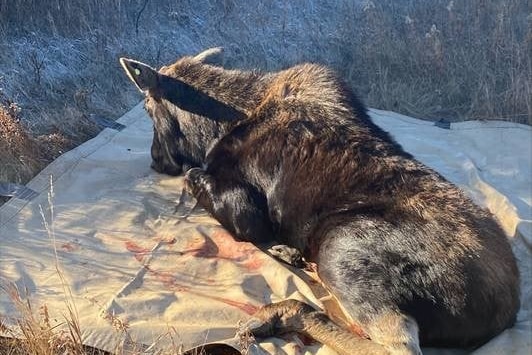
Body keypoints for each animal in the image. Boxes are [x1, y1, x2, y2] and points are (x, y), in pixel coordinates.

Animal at [121, 48, 520, 355]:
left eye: (148, 107)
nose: (155, 159)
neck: (216, 125)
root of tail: (508, 307)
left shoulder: (246, 212)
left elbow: (194, 176)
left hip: (342, 247)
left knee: (395, 344)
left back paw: (282, 311)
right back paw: (290, 257)